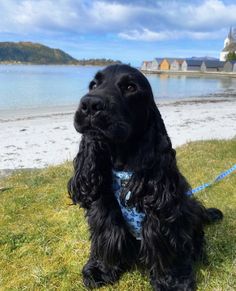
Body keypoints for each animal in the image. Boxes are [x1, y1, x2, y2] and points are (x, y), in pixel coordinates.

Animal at [67, 65, 222, 290]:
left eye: (130, 87)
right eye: (93, 85)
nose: (89, 105)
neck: (123, 166)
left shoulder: (162, 219)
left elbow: (167, 251)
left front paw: (172, 283)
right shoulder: (104, 210)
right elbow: (105, 237)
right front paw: (100, 270)